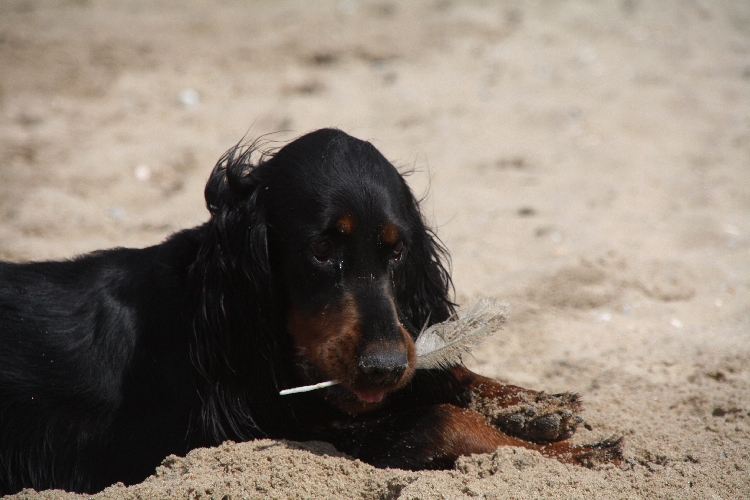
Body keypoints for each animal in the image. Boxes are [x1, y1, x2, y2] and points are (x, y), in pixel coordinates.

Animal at [0, 129, 621, 494]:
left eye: (396, 251)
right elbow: (441, 419)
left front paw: (539, 407)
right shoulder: (274, 425)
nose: (382, 367)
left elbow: (446, 374)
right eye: (322, 251)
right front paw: (583, 460)